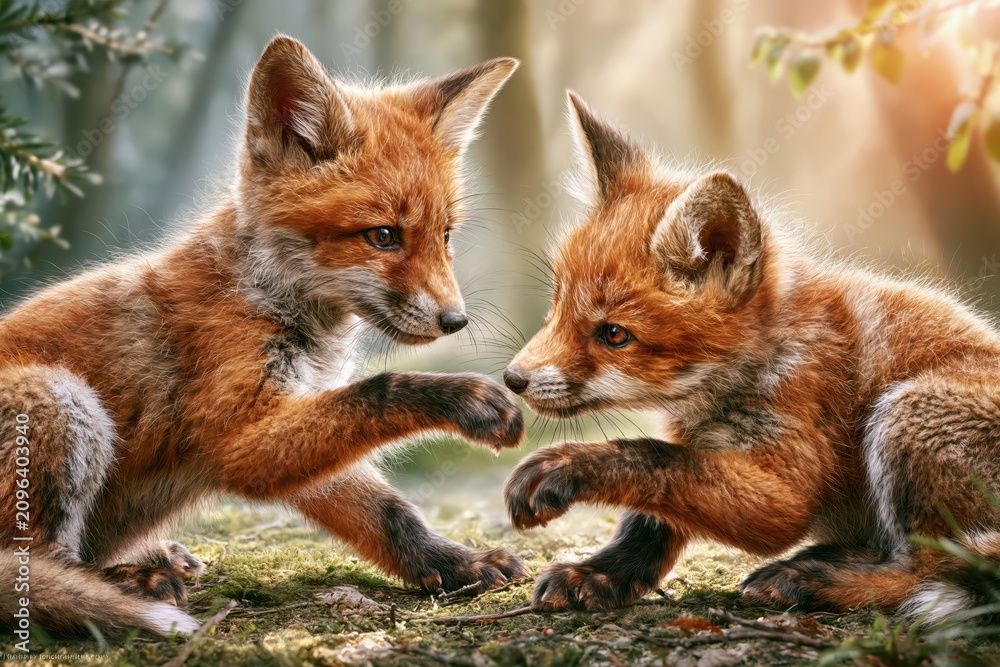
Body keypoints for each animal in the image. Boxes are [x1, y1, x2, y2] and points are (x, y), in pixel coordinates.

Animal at [0, 36, 529, 638]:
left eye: (445, 236)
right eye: (383, 237)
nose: (454, 321)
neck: (266, 294)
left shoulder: (297, 413)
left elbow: (389, 513)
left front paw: (454, 564)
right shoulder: (239, 435)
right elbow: (381, 390)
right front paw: (463, 396)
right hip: (61, 399)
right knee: (33, 567)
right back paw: (128, 583)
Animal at [501, 91, 1000, 624]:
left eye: (613, 334)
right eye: (557, 306)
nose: (513, 379)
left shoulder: (783, 488)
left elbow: (650, 457)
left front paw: (565, 465)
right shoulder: (700, 444)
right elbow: (649, 518)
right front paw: (602, 574)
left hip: (904, 413)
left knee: (928, 568)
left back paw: (813, 582)